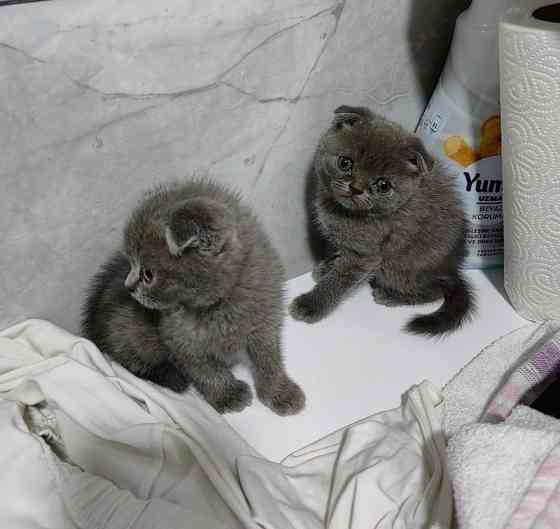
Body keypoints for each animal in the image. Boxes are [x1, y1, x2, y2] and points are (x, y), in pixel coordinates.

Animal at [81, 179, 304, 414]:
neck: (218, 307)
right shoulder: (178, 339)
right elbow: (204, 370)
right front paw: (228, 395)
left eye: (148, 275)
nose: (128, 286)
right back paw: (172, 377)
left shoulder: (264, 320)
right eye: (131, 263)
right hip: (125, 331)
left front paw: (280, 392)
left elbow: (269, 359)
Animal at [290, 105, 474, 336]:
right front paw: (326, 268)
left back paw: (391, 296)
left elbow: (339, 280)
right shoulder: (341, 240)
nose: (355, 188)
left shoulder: (364, 255)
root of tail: (453, 270)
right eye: (345, 163)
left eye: (383, 185)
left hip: (397, 268)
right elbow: (336, 255)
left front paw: (311, 304)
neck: (343, 213)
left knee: (436, 291)